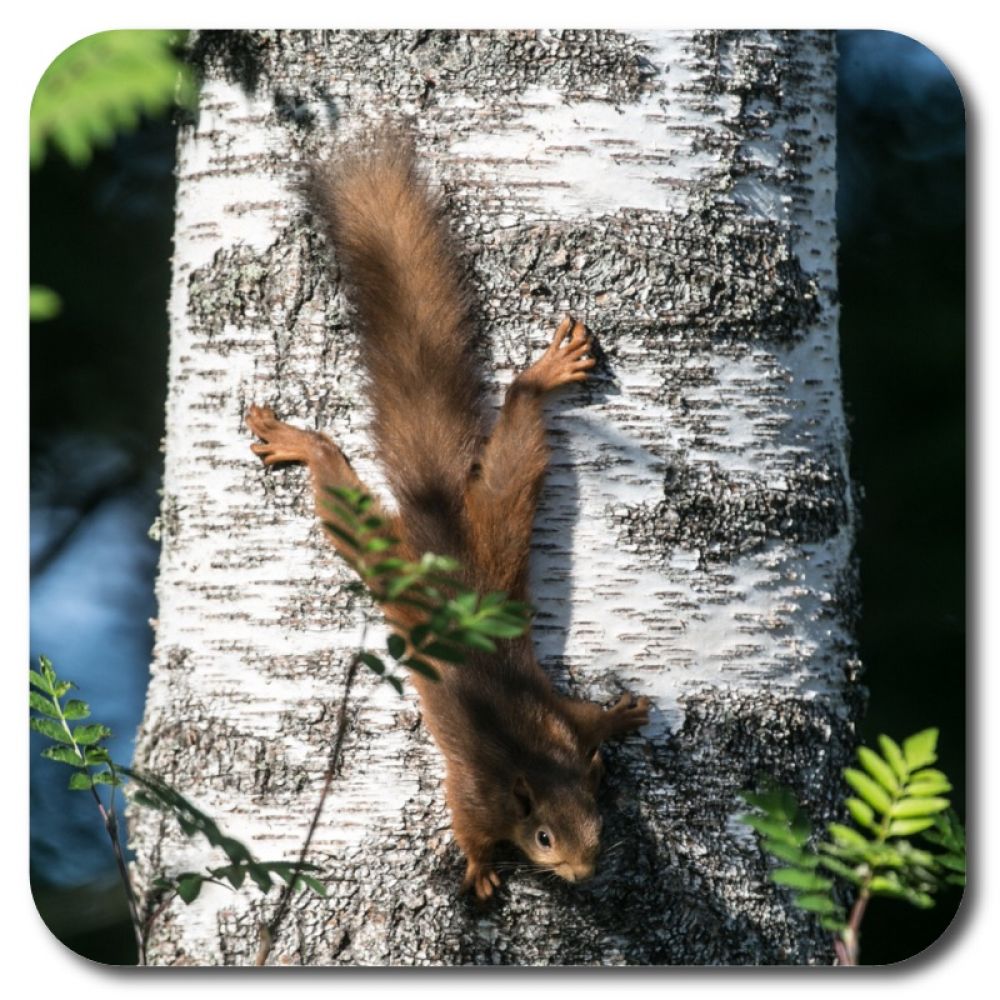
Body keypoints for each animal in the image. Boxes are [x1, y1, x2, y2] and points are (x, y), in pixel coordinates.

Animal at [247, 137, 652, 904]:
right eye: (545, 838)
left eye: (601, 824)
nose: (583, 873)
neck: (534, 765)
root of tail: (439, 532)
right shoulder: (477, 791)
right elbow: (467, 824)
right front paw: (478, 869)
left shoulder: (560, 722)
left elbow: (586, 718)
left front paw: (620, 715)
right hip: (392, 555)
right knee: (343, 493)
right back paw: (300, 443)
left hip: (498, 524)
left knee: (518, 435)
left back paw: (545, 376)